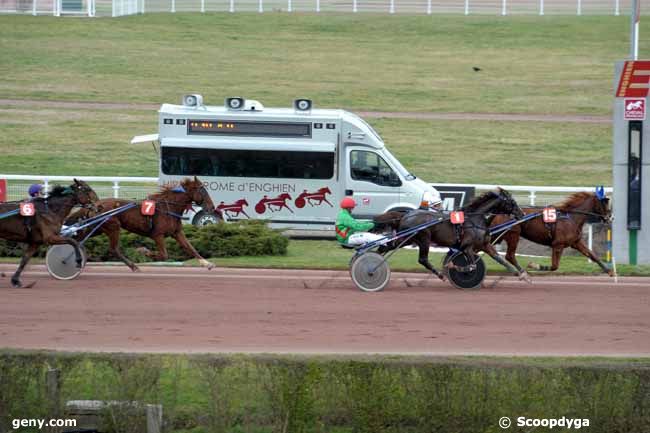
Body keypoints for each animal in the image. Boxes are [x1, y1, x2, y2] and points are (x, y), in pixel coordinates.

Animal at [68, 176, 216, 270]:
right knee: (113, 249)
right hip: (113, 227)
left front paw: (207, 264)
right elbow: (164, 255)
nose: (212, 207)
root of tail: (95, 204)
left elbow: (190, 248)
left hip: (97, 228)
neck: (168, 208)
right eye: (203, 191)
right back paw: (133, 266)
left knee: (79, 240)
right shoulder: (158, 235)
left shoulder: (177, 232)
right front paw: (142, 250)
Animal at [374, 187, 528, 282]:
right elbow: (472, 266)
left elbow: (499, 259)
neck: (475, 219)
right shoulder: (467, 247)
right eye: (512, 202)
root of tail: (405, 215)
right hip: (423, 238)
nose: (522, 214)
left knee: (386, 247)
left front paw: (521, 275)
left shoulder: (485, 245)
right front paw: (454, 267)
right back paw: (440, 275)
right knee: (422, 259)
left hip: (407, 239)